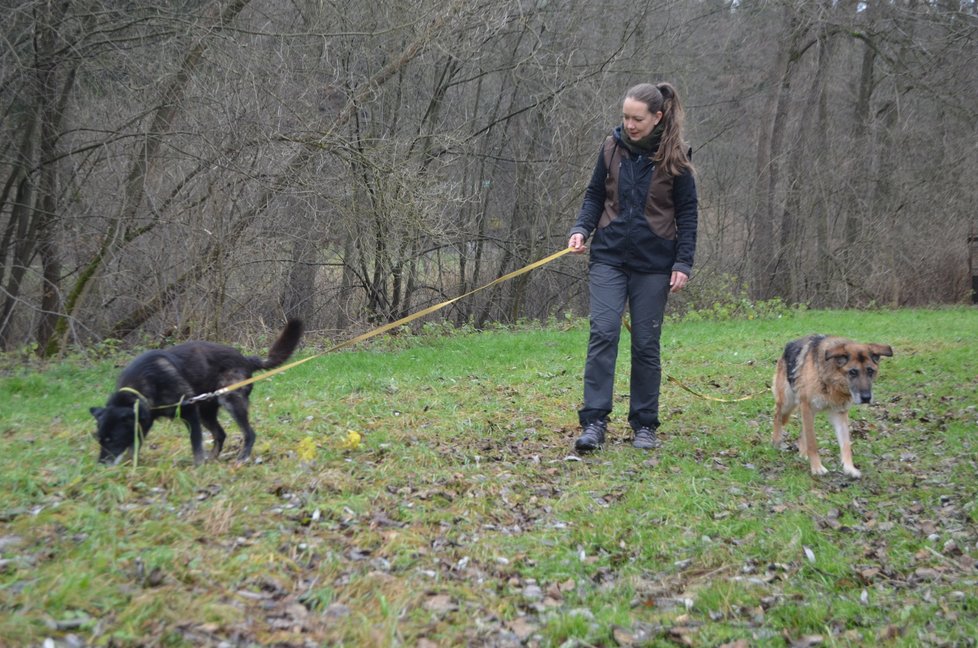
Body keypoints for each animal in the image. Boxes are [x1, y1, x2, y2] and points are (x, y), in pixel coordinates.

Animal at [94, 320, 304, 466]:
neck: (143, 382)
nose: (101, 466)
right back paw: (213, 458)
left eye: (113, 439)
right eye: (99, 439)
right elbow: (134, 445)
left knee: (249, 434)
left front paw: (197, 467)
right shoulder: (145, 420)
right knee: (220, 435)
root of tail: (245, 359)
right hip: (206, 412)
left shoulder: (189, 413)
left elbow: (196, 443)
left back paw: (242, 457)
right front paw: (131, 464)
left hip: (230, 401)